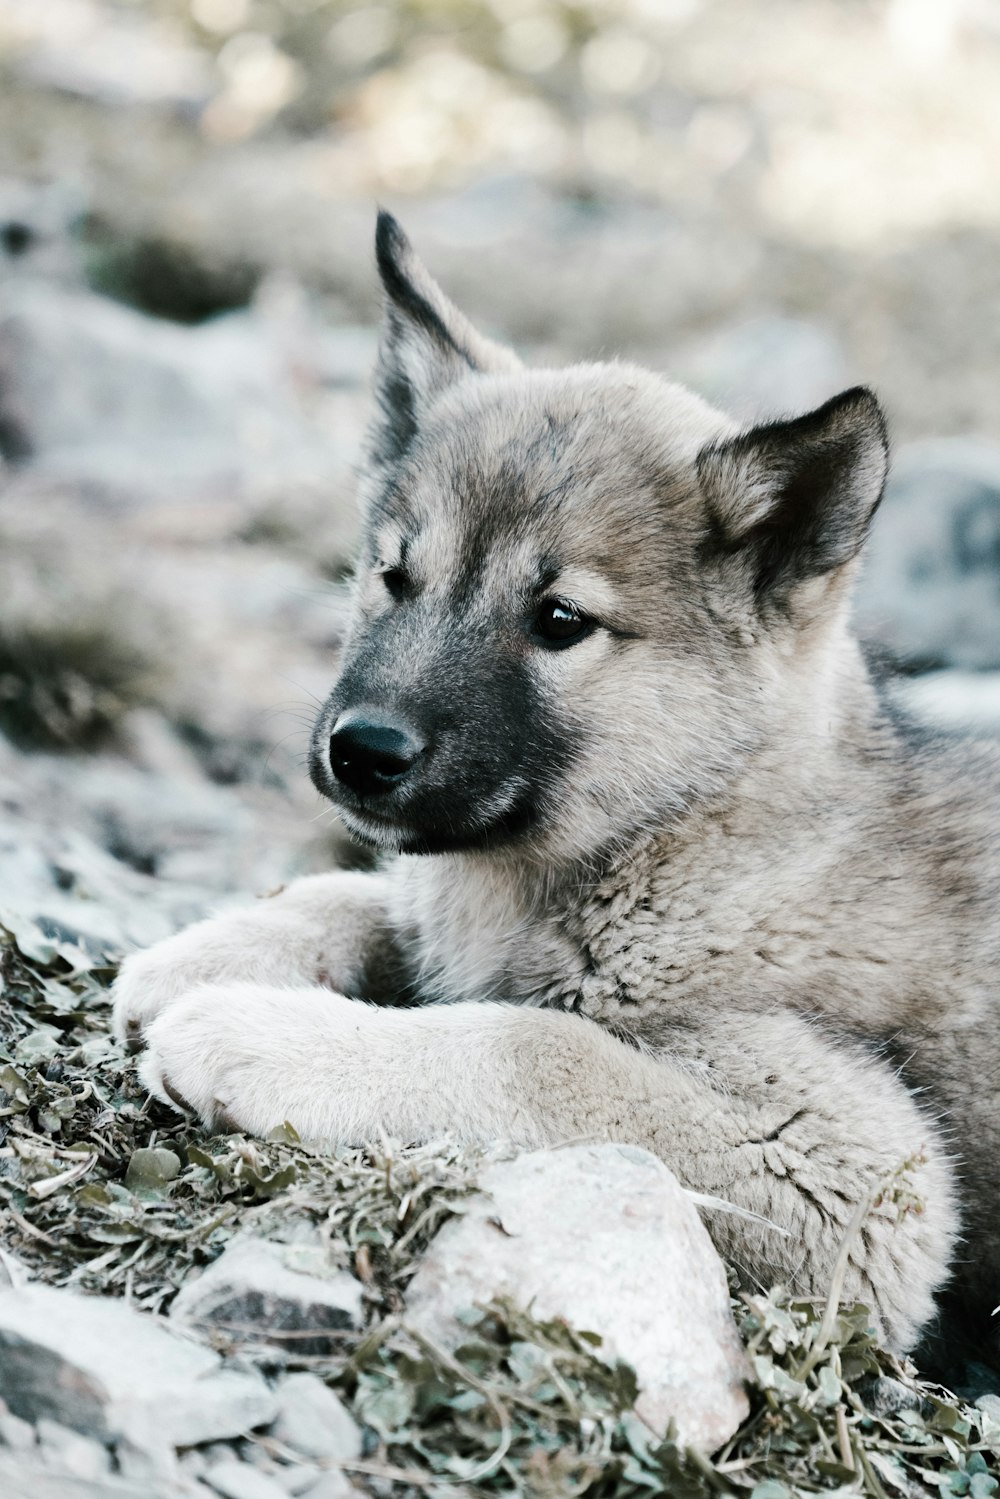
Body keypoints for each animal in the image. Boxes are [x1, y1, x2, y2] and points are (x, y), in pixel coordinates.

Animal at [113, 214, 995, 1373]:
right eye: (394, 576)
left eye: (561, 620)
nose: (362, 749)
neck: (686, 835)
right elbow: (360, 897)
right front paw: (203, 952)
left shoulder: (854, 1172)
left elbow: (536, 1044)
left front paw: (258, 1034)